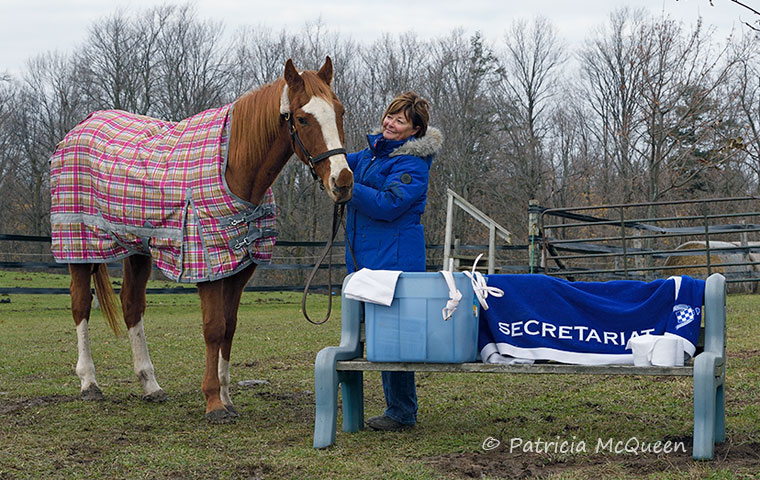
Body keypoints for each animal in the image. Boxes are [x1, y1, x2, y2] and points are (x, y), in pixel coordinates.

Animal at [52, 58, 354, 422]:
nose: (343, 181)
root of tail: (81, 126)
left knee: (131, 305)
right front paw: (213, 402)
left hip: (138, 247)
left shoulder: (239, 268)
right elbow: (213, 328)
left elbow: (229, 327)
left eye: (339, 111)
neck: (234, 167)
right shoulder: (208, 266)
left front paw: (226, 396)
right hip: (79, 244)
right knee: (81, 304)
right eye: (302, 118)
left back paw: (150, 385)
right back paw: (89, 383)